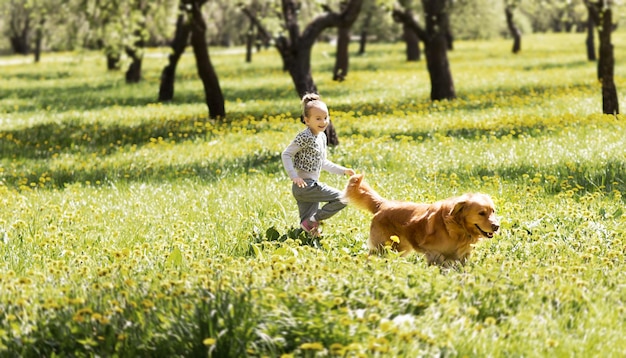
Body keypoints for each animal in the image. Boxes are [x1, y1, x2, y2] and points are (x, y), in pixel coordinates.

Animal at [342, 175, 498, 264]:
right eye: (481, 213)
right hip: (383, 247)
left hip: (399, 248)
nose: (497, 226)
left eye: (493, 211)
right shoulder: (434, 253)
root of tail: (383, 204)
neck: (457, 228)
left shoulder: (463, 256)